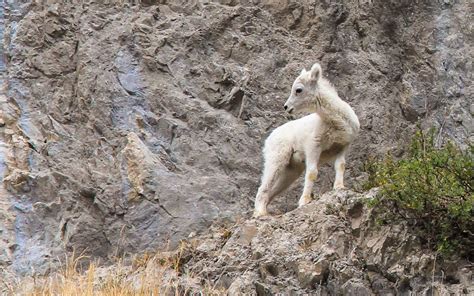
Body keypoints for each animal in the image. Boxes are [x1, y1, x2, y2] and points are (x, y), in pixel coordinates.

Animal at [256, 62, 360, 216]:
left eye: (298, 90)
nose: (286, 107)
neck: (336, 122)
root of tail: (269, 138)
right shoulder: (313, 147)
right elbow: (312, 173)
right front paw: (304, 201)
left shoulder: (343, 146)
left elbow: (340, 166)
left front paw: (339, 187)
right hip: (276, 161)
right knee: (263, 188)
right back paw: (260, 214)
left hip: (290, 172)